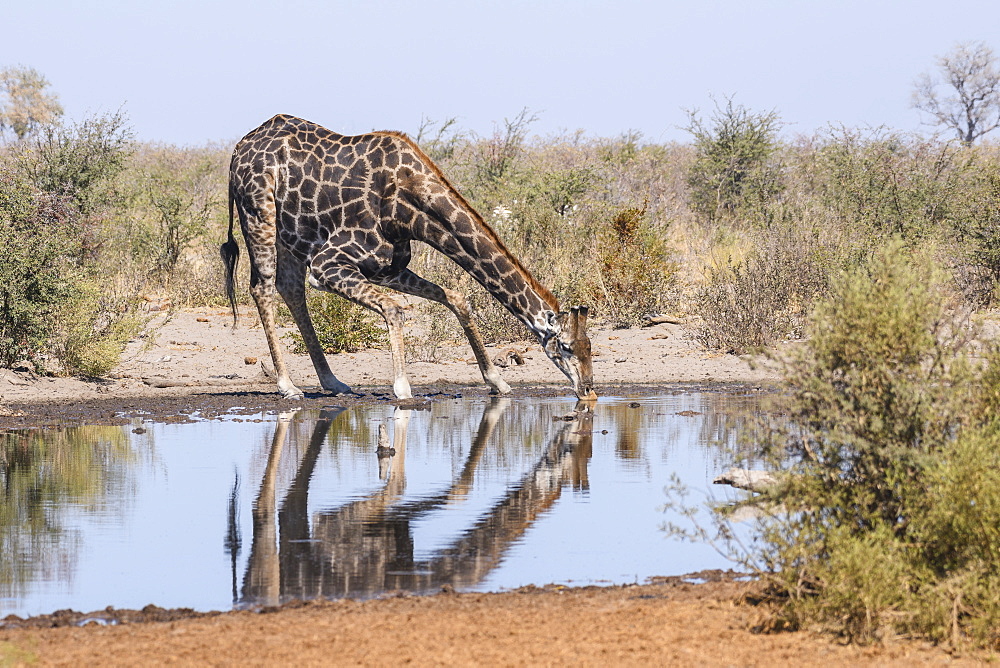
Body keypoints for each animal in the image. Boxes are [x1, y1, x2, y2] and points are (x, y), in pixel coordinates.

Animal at [223, 113, 592, 402]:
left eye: (590, 346)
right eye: (566, 347)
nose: (588, 390)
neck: (408, 205)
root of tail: (238, 149)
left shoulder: (386, 267)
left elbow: (457, 298)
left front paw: (497, 381)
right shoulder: (328, 264)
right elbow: (394, 309)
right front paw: (402, 387)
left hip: (292, 235)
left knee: (289, 287)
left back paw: (332, 381)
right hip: (259, 214)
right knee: (263, 287)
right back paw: (288, 386)